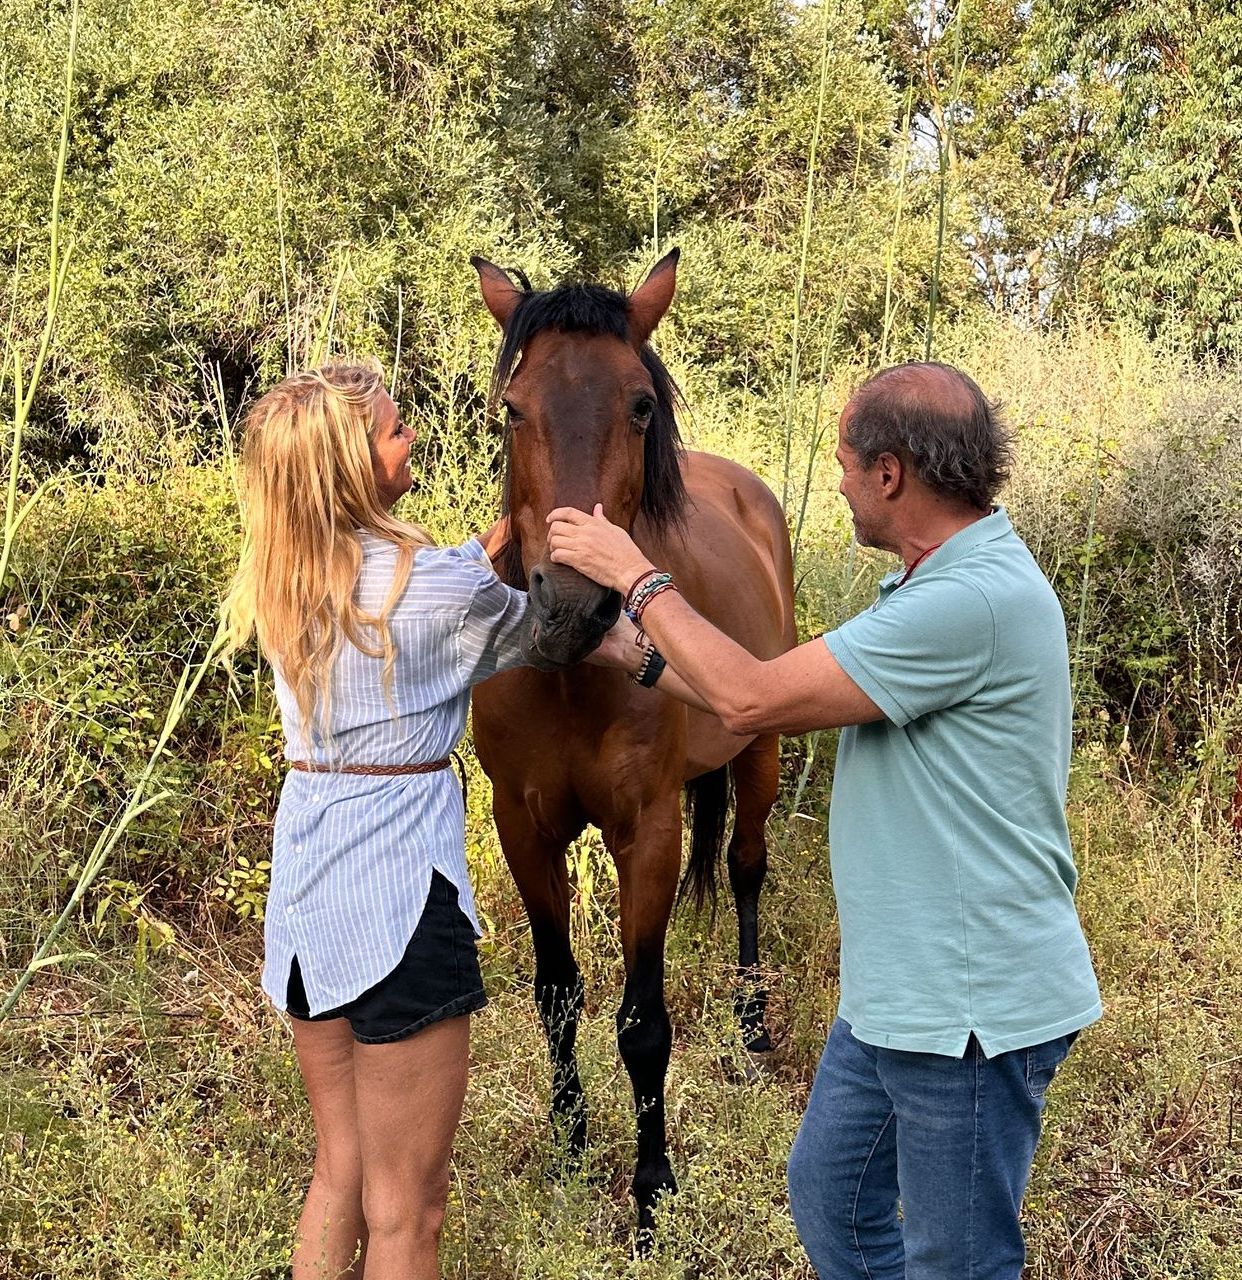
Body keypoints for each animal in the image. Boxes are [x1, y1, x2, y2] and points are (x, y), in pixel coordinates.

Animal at [469, 249, 797, 1240]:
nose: (574, 607)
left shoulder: (646, 832)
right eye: (513, 406)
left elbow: (643, 1022)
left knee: (745, 869)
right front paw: (570, 1154)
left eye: (641, 405)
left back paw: (751, 1027)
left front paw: (652, 1188)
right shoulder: (524, 828)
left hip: (759, 755)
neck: (574, 675)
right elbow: (558, 995)